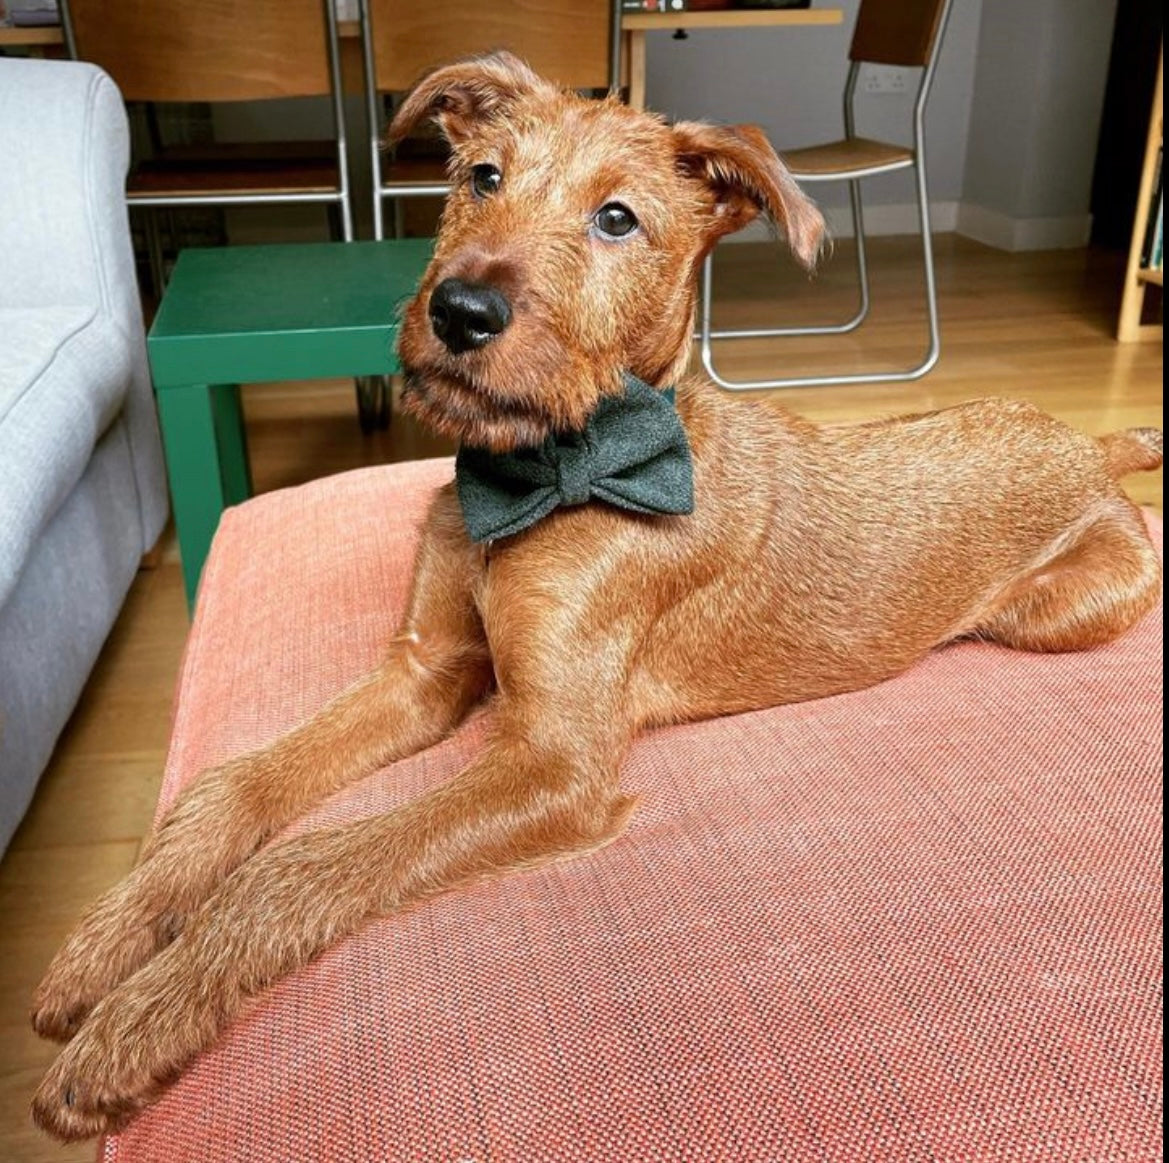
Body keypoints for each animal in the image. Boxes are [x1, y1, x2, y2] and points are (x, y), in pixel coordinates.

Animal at [32, 52, 1164, 1136]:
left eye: (617, 218)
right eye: (480, 177)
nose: (458, 310)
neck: (540, 474)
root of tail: (1088, 443)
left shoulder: (555, 760)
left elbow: (300, 862)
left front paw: (132, 1026)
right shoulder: (424, 671)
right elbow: (233, 786)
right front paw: (106, 943)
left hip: (1053, 612)